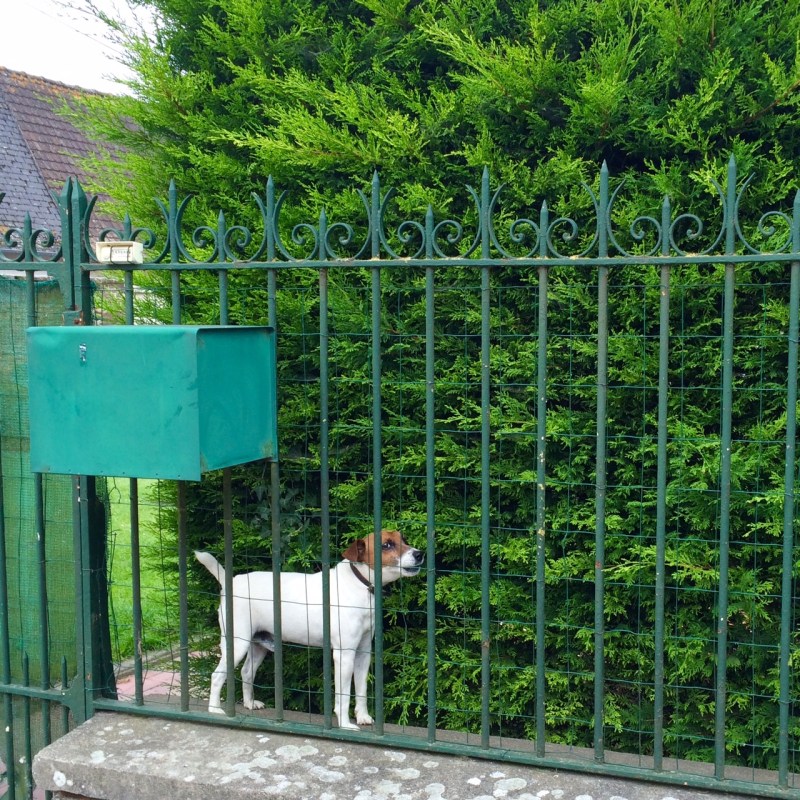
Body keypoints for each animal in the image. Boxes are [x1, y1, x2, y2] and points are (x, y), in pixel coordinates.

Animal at [196, 532, 424, 732]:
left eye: (404, 539)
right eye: (386, 545)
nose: (419, 553)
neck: (360, 585)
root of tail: (231, 582)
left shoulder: (363, 652)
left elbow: (361, 690)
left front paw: (363, 717)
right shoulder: (344, 655)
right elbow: (343, 695)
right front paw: (345, 724)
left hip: (258, 644)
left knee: (246, 672)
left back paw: (250, 703)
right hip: (237, 642)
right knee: (217, 675)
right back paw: (215, 709)